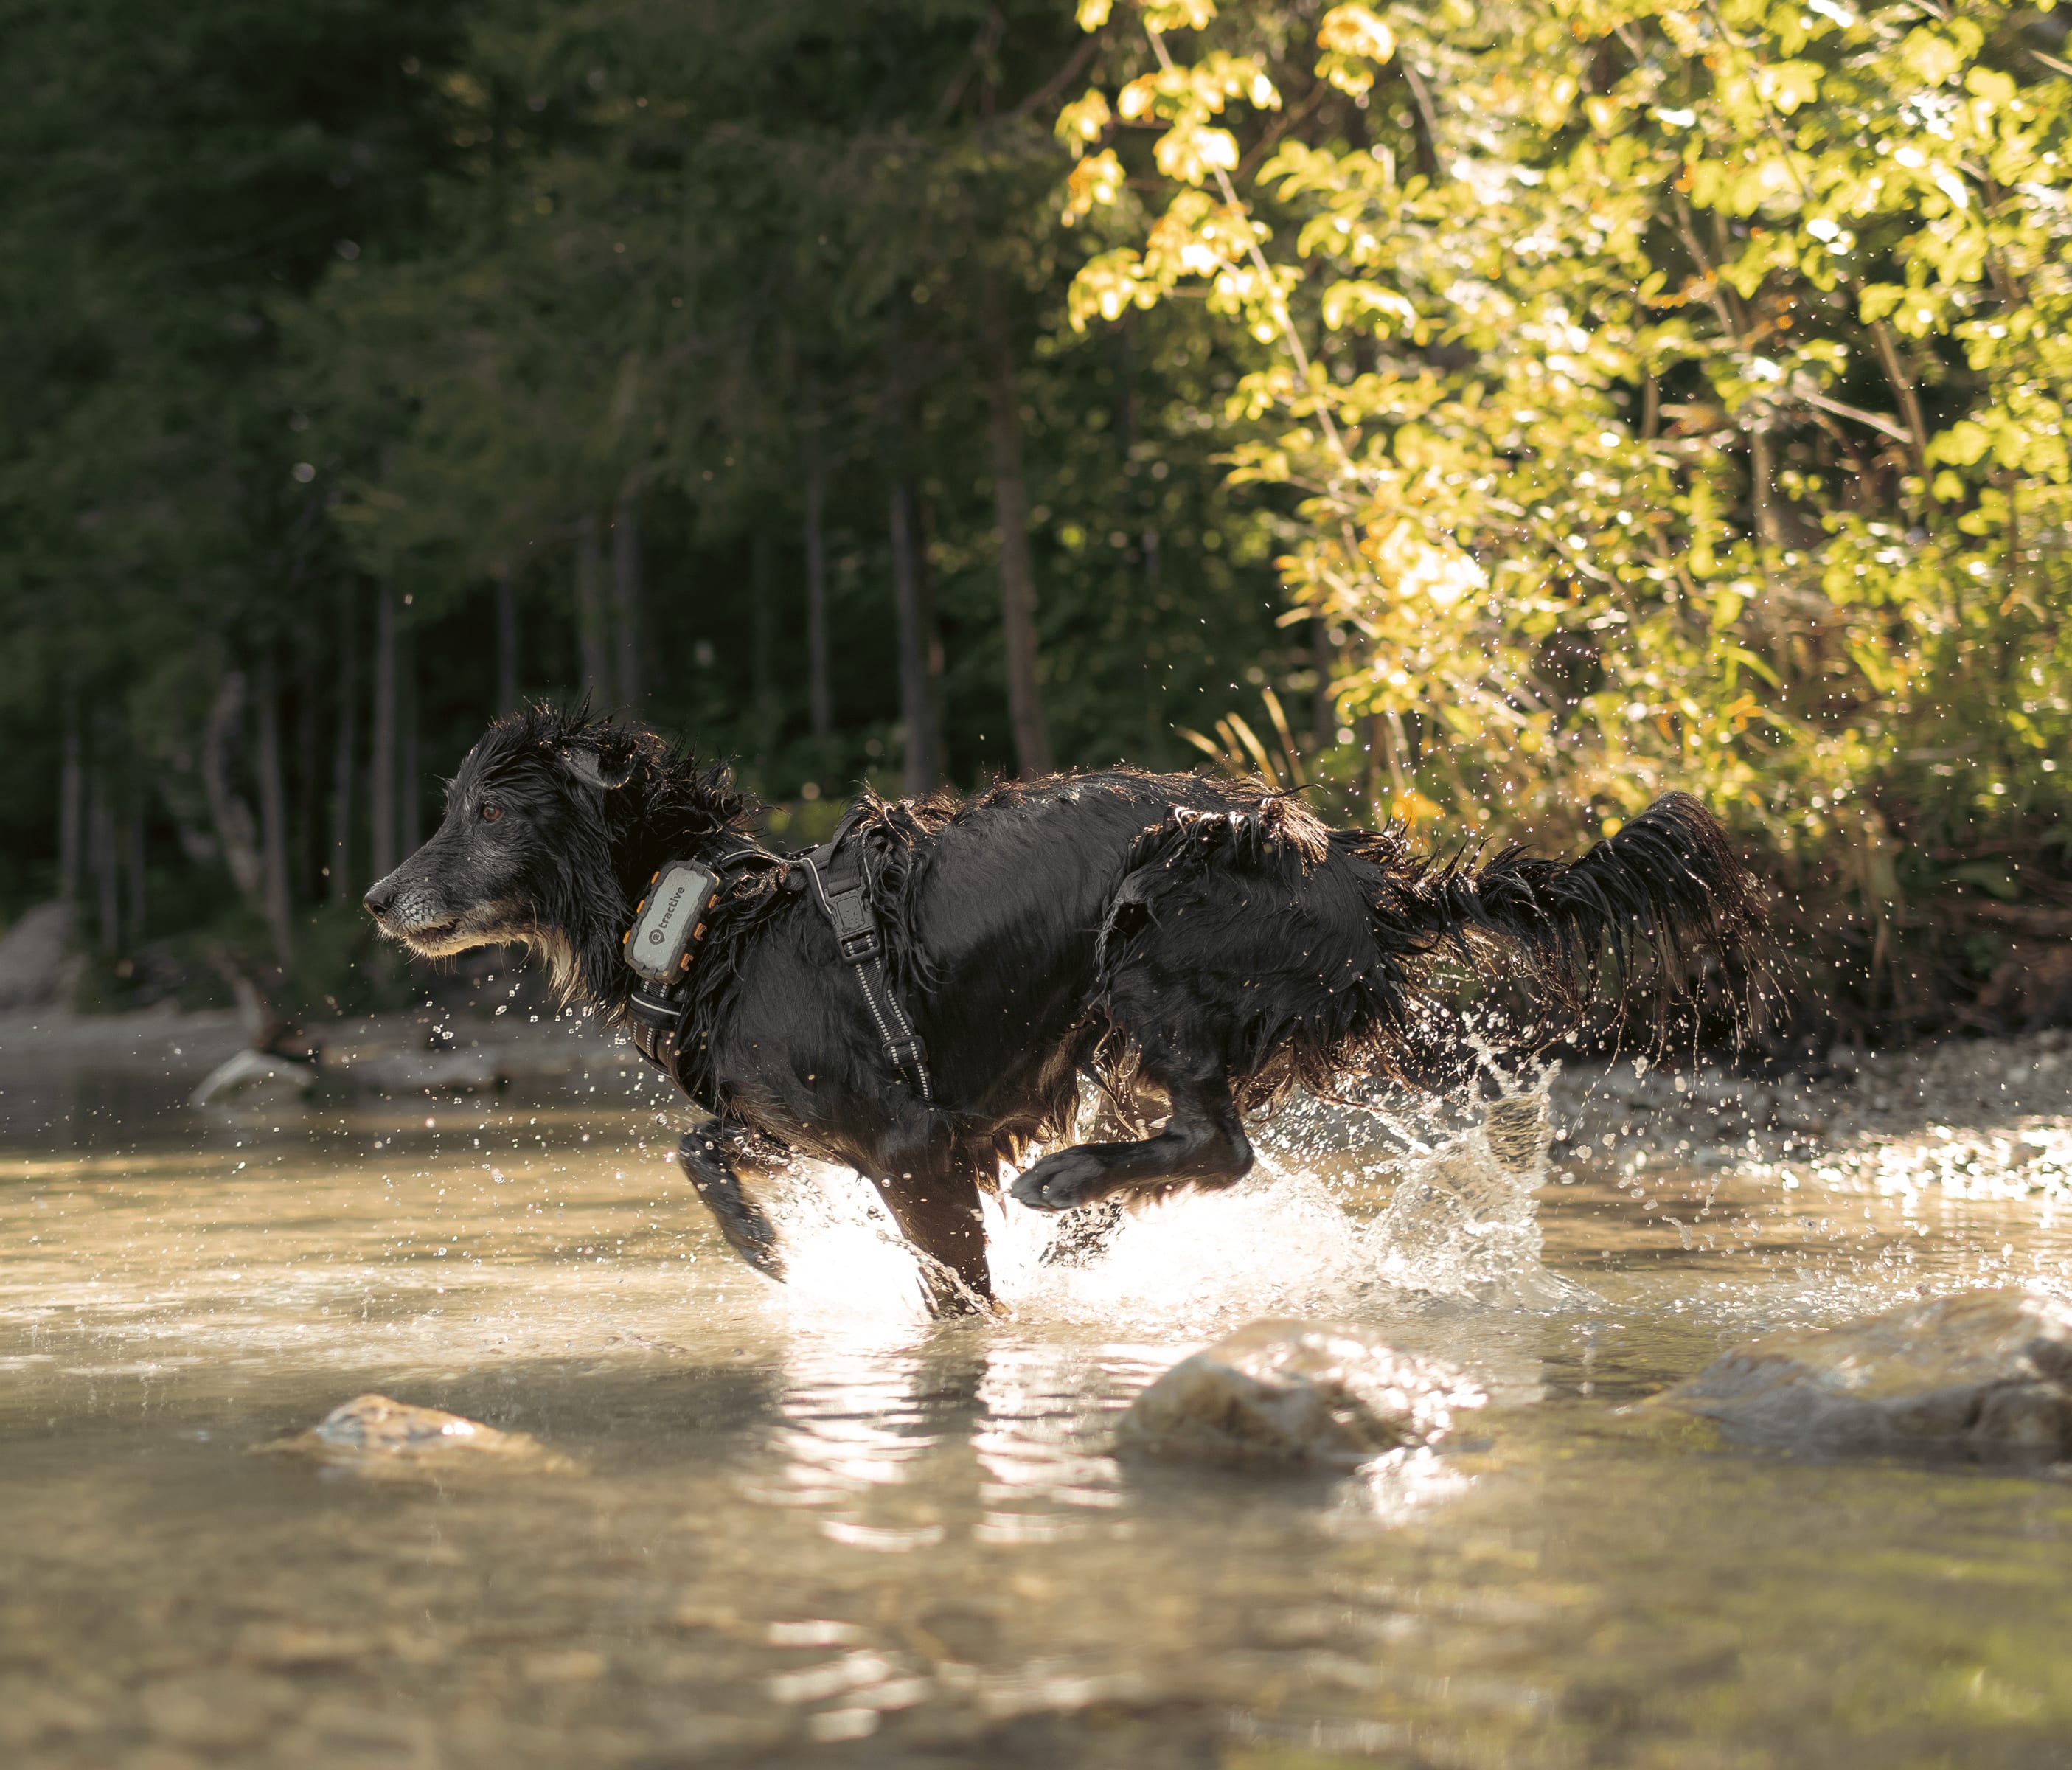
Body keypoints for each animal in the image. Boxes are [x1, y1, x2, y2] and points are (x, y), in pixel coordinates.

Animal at [364, 709, 1756, 1318]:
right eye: (448, 804)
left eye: (488, 811)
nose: (377, 896)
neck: (712, 916)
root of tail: (1370, 874)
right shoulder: (821, 1122)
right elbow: (698, 1143)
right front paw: (760, 1240)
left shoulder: (912, 1146)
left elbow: (954, 1289)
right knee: (1197, 1148)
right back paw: (1085, 1216)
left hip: (1159, 938)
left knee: (1221, 1146)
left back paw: (1070, 1189)